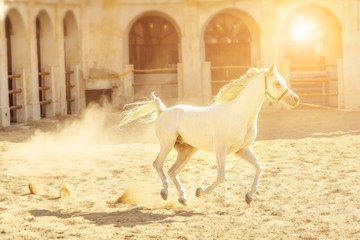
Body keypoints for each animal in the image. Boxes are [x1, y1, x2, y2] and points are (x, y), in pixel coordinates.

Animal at [119, 66, 300, 206]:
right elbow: (221, 176)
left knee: (172, 171)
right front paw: (200, 192)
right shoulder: (221, 149)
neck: (240, 114)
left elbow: (259, 166)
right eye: (277, 83)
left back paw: (183, 198)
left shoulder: (242, 150)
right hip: (167, 143)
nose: (296, 100)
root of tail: (163, 111)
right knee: (158, 164)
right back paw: (165, 192)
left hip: (187, 150)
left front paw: (249, 196)